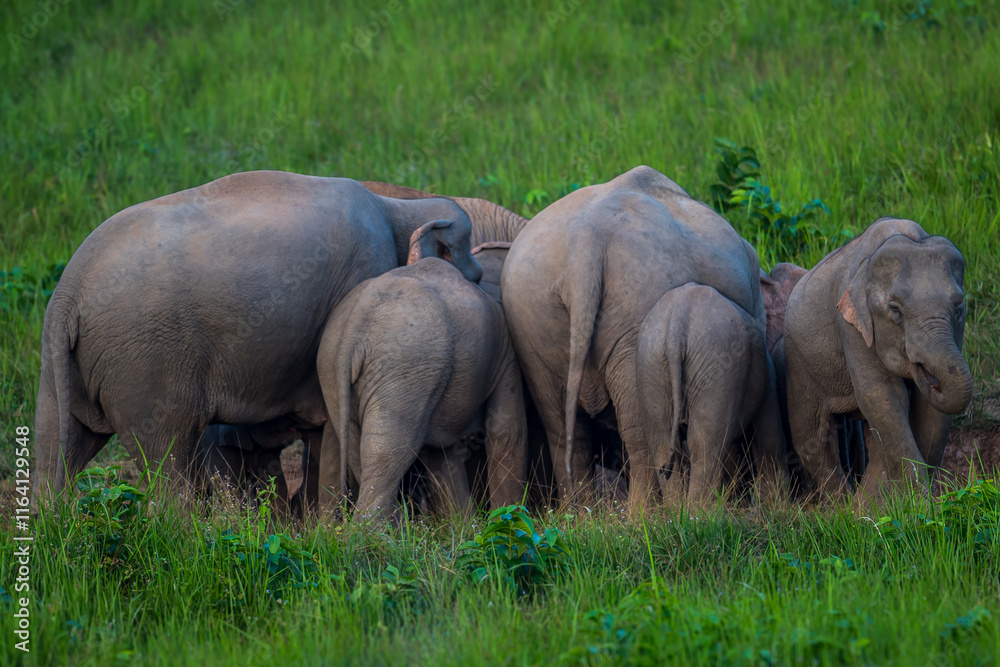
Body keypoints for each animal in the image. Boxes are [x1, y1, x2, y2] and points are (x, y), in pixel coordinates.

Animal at [34, 170, 483, 499]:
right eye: (472, 269)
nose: (480, 276)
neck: (397, 208)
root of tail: (67, 296)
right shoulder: (364, 271)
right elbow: (335, 426)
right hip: (146, 364)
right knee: (167, 460)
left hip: (65, 365)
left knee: (56, 448)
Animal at [315, 255, 527, 521]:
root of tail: (355, 327)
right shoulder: (505, 353)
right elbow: (506, 430)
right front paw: (508, 522)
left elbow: (442, 456)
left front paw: (467, 526)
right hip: (406, 364)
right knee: (390, 448)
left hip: (332, 368)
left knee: (360, 447)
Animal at [637, 283, 785, 505]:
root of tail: (677, 323)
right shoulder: (767, 374)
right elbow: (770, 437)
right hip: (717, 365)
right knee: (705, 445)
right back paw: (701, 512)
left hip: (651, 362)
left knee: (663, 443)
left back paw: (678, 510)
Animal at [783, 217, 972, 498]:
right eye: (895, 309)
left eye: (957, 308)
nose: (923, 371)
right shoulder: (852, 326)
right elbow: (882, 395)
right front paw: (916, 504)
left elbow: (930, 412)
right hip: (798, 362)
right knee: (812, 439)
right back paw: (842, 504)